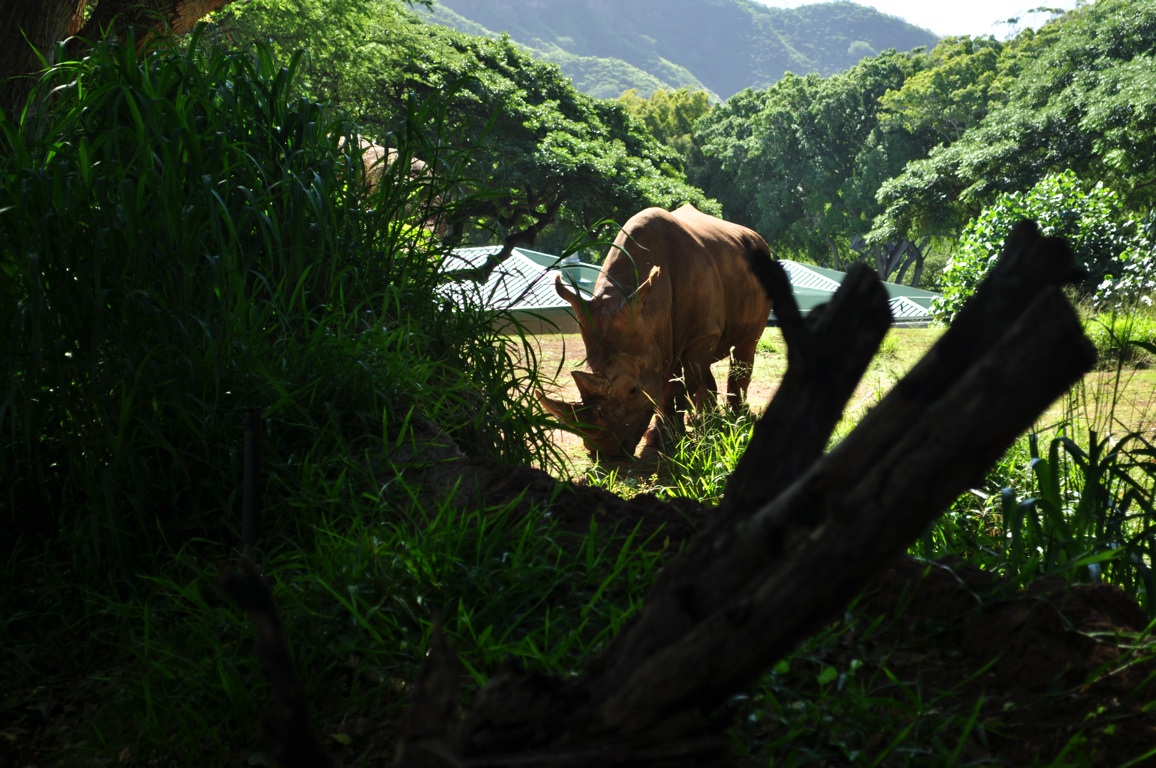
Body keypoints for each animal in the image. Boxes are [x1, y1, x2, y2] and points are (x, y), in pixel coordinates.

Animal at [540, 204, 773, 458]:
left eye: (633, 390)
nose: (605, 451)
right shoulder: (658, 337)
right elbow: (665, 388)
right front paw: (659, 437)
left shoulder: (698, 334)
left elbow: (676, 388)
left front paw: (668, 439)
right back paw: (707, 421)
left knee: (746, 345)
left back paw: (736, 418)